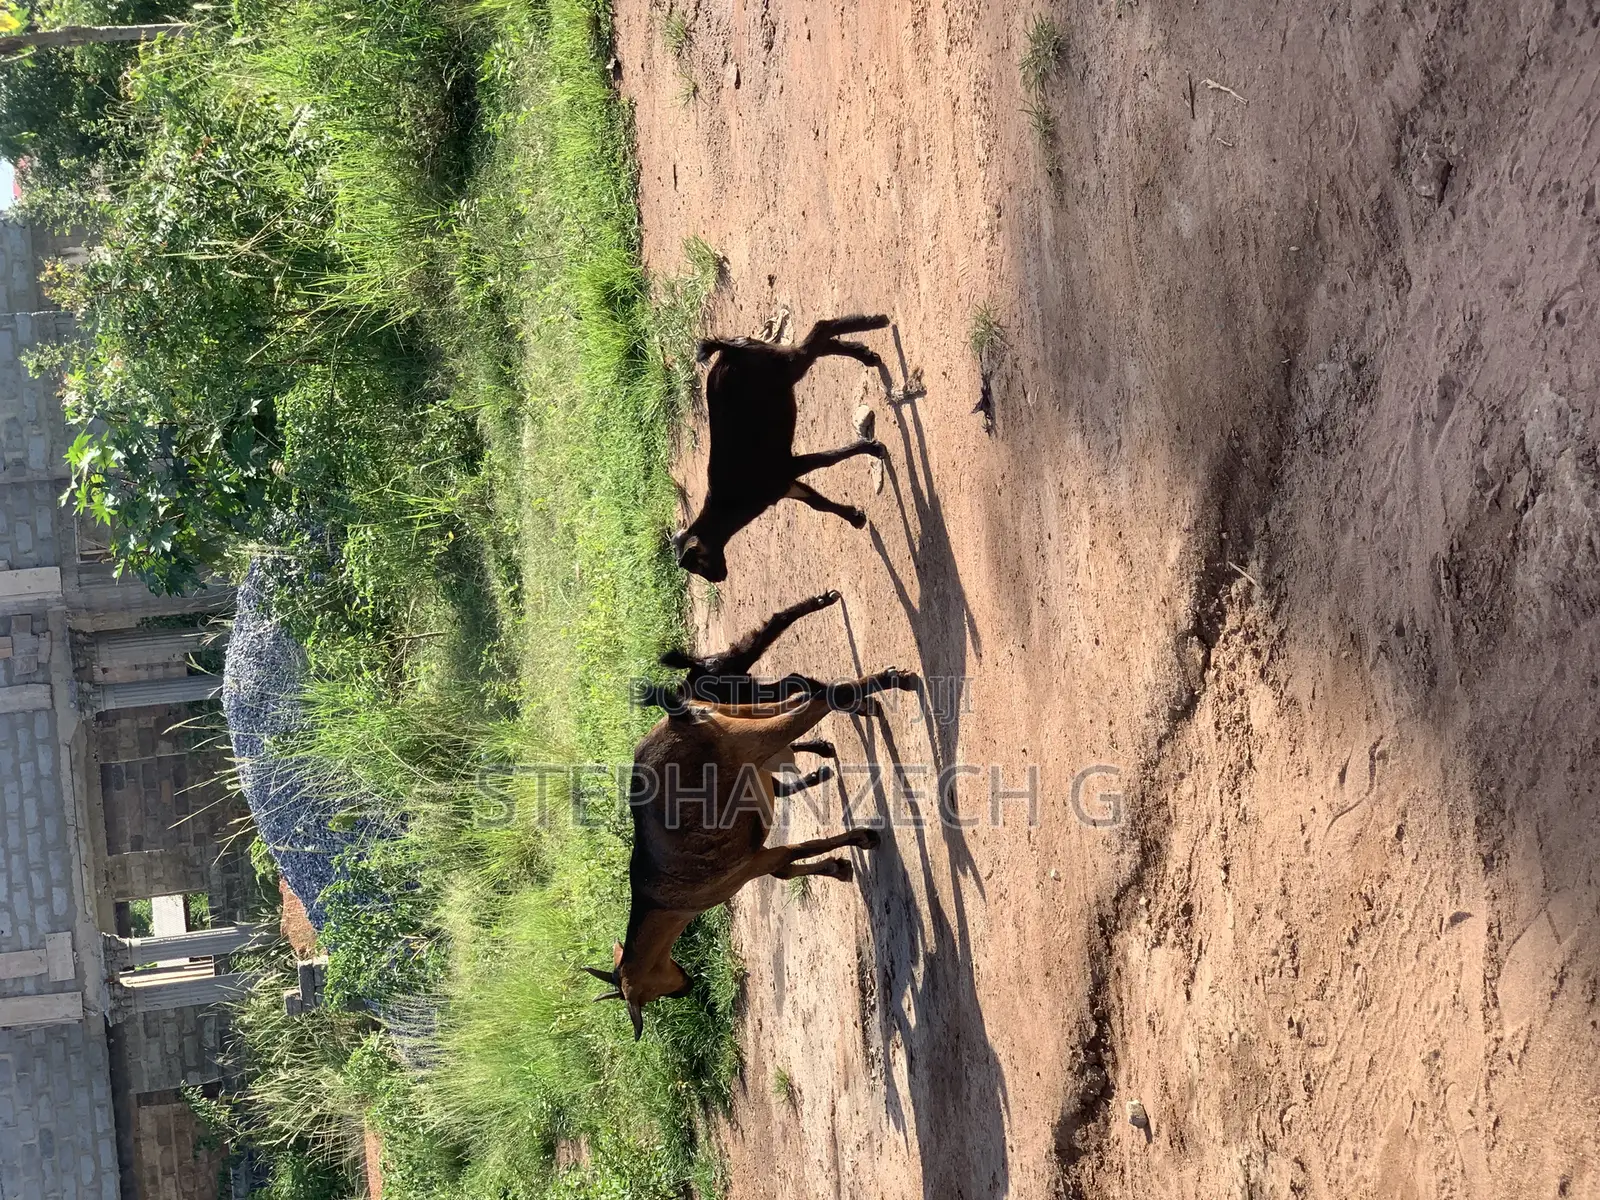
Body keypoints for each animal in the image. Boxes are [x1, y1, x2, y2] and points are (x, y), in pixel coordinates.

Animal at [585, 665, 918, 1037]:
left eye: (647, 992)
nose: (686, 987)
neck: (664, 903)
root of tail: (678, 719)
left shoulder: (746, 868)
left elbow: (795, 852)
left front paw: (863, 838)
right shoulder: (756, 861)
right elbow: (786, 868)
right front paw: (839, 866)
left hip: (748, 741)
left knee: (814, 703)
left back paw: (893, 681)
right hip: (738, 719)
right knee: (801, 698)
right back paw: (865, 707)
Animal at [672, 314, 893, 582]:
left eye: (698, 564)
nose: (719, 578)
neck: (731, 502)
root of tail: (729, 349)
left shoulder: (785, 468)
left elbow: (828, 460)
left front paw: (874, 448)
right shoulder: (784, 485)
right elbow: (817, 503)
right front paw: (855, 518)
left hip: (784, 366)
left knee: (820, 330)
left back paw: (876, 321)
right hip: (779, 364)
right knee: (820, 345)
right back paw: (867, 355)